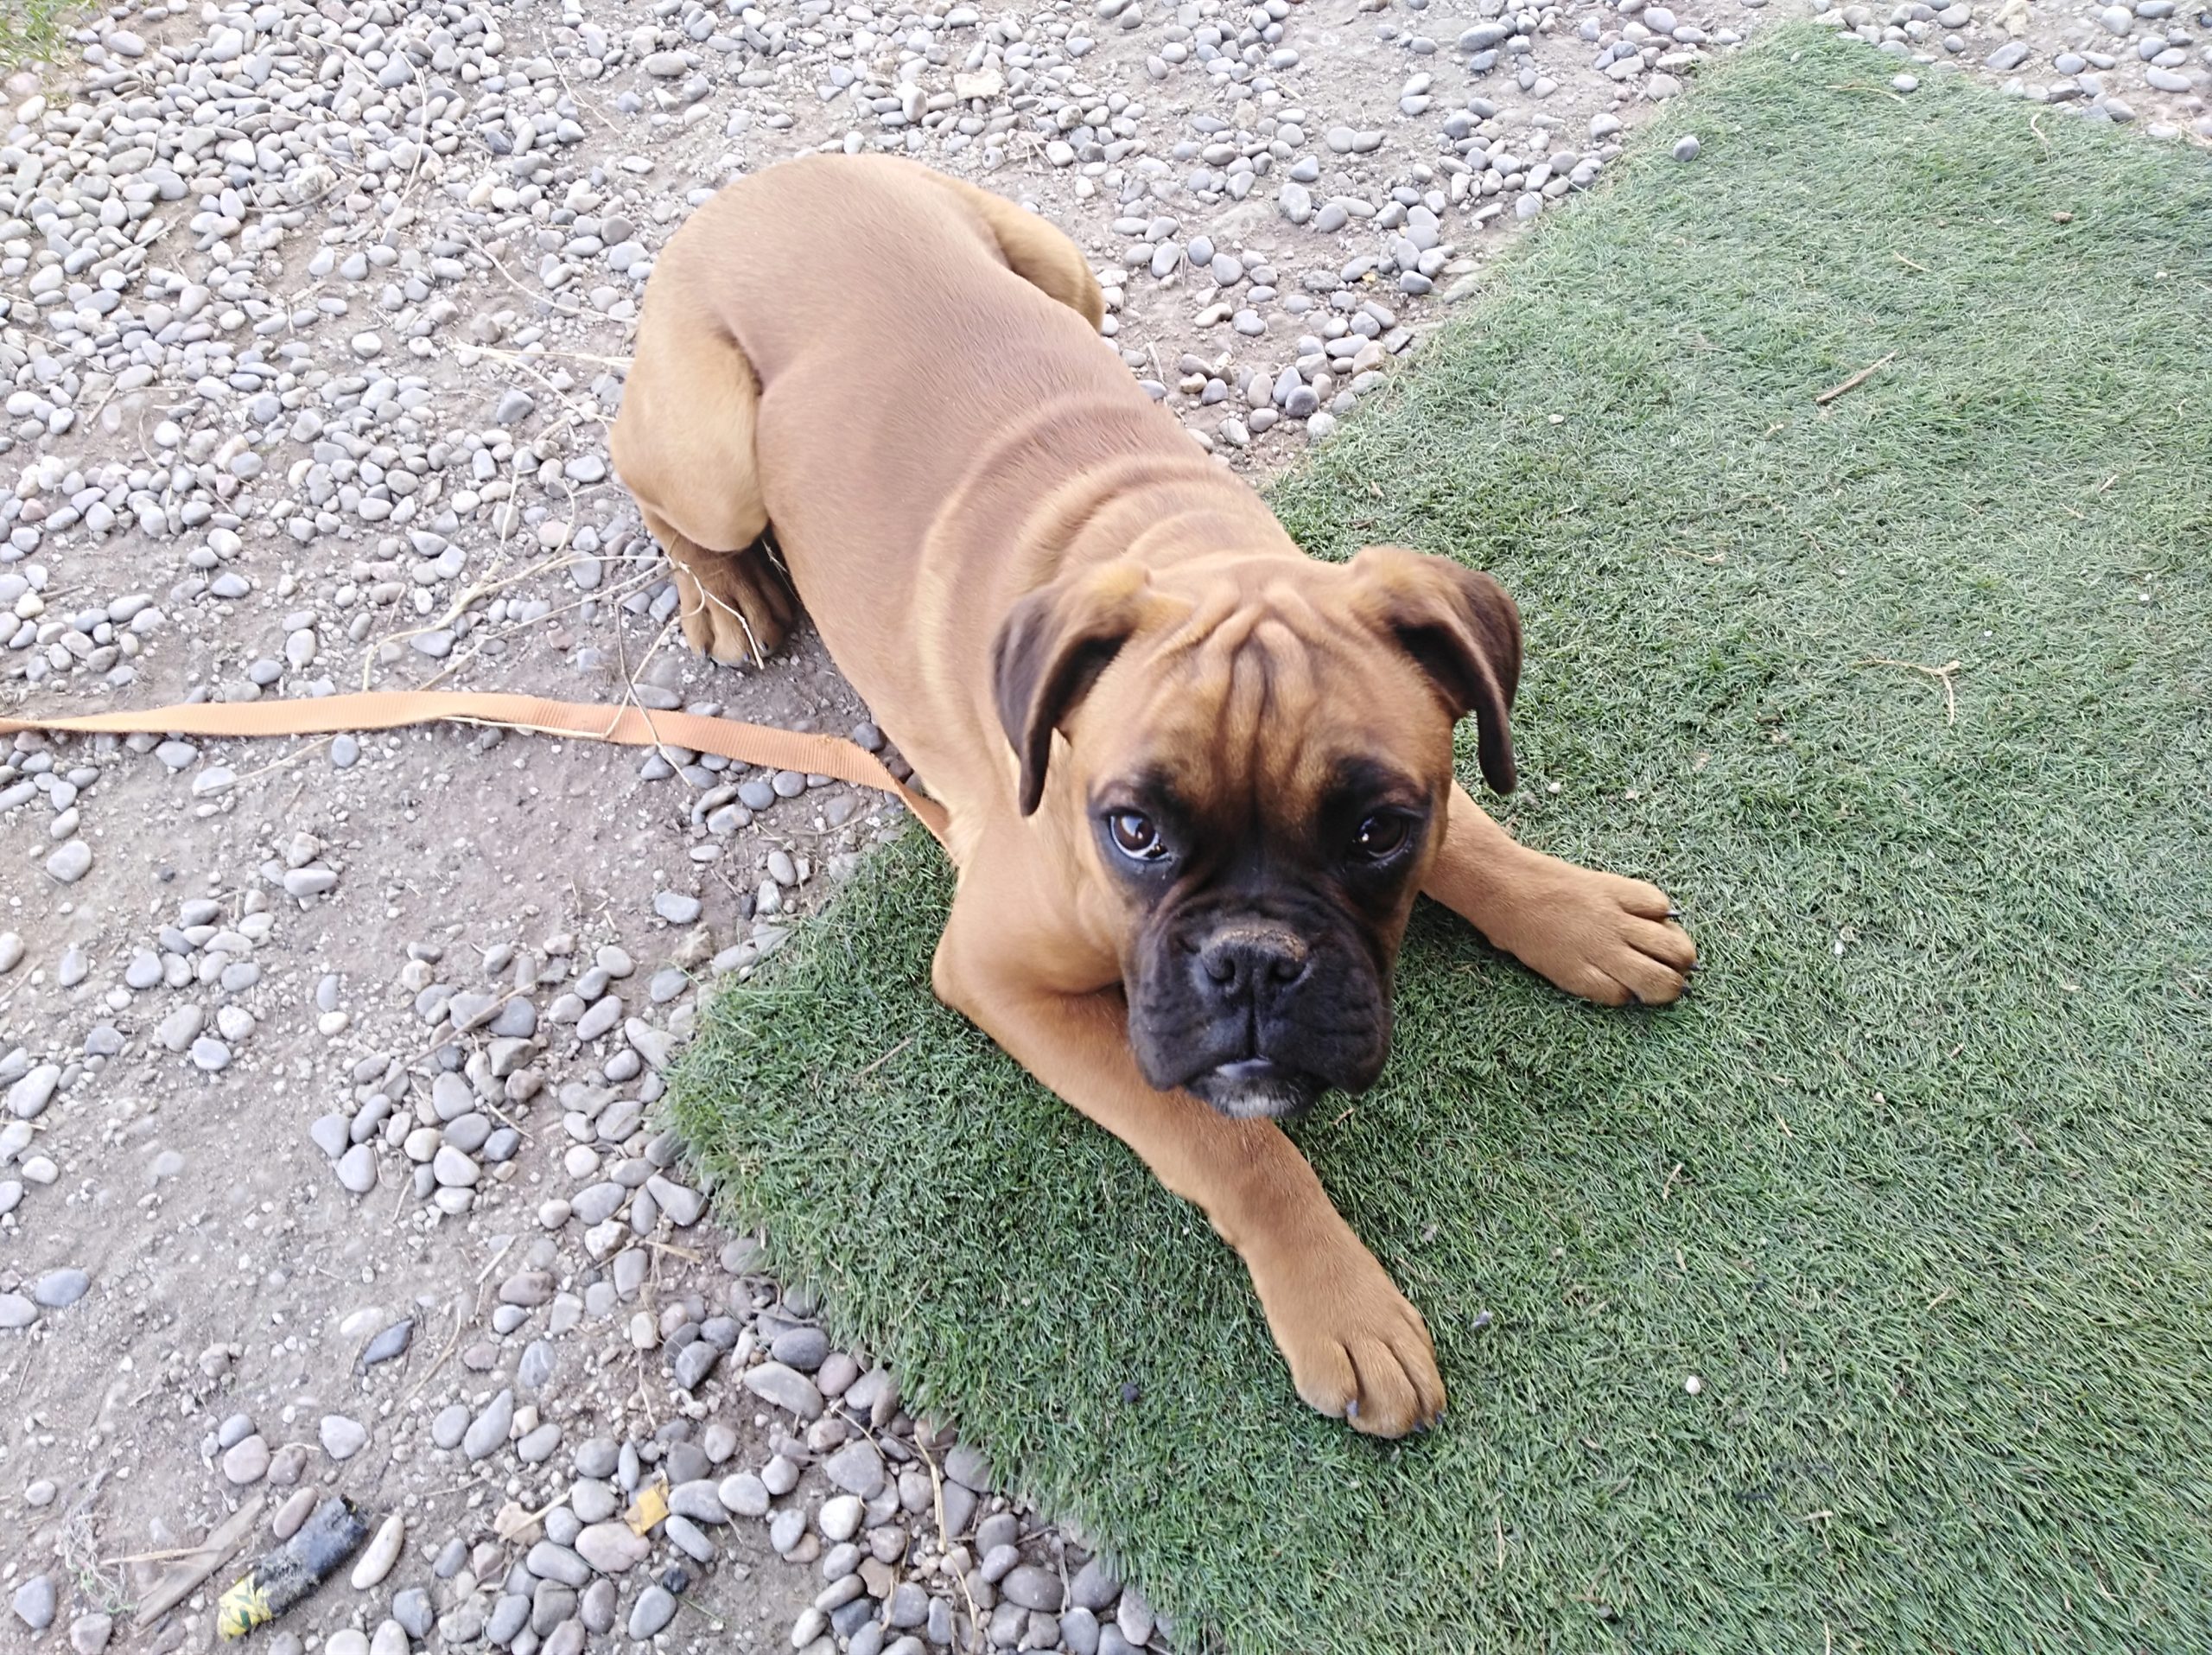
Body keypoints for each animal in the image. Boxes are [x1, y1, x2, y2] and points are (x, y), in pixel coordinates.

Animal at [610, 155, 1695, 1437]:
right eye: (1133, 831)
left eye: (1379, 830)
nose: (1258, 962)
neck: (1179, 552)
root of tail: (771, 175)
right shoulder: (1004, 978)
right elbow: (1234, 1149)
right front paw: (1339, 1300)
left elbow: (1476, 838)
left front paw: (1575, 912)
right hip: (717, 463)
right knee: (660, 491)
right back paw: (726, 591)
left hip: (1060, 268)